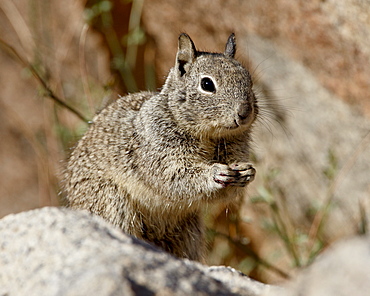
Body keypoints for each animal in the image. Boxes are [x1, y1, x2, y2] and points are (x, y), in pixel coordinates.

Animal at [62, 33, 258, 262]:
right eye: (207, 84)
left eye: (249, 80)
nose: (244, 112)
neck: (209, 137)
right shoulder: (160, 155)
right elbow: (175, 176)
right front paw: (215, 173)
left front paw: (247, 171)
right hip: (112, 204)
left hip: (187, 232)